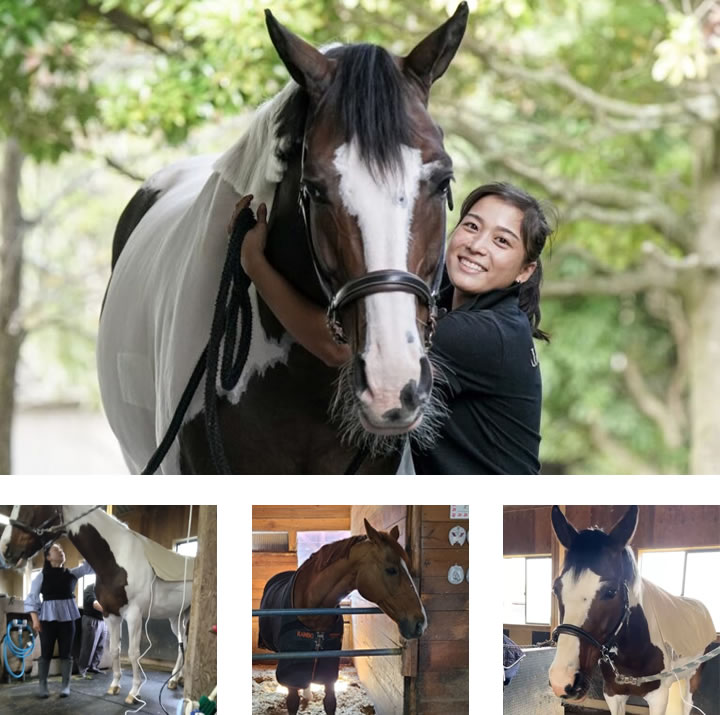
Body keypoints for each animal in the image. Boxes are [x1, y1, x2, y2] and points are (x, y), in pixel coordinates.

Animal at [0, 506, 193, 705]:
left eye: (32, 507)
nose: (5, 549)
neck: (117, 558)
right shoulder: (111, 615)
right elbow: (115, 650)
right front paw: (115, 685)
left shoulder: (134, 615)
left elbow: (133, 653)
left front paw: (134, 692)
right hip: (176, 617)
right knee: (183, 645)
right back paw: (175, 680)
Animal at [257, 519, 426, 715]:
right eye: (391, 570)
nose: (421, 623)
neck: (313, 611)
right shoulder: (292, 672)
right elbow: (292, 702)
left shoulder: (329, 668)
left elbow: (330, 703)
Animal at [549, 505, 719, 715]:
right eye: (556, 589)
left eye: (611, 591)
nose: (562, 680)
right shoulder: (613, 695)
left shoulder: (658, 698)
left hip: (691, 679)